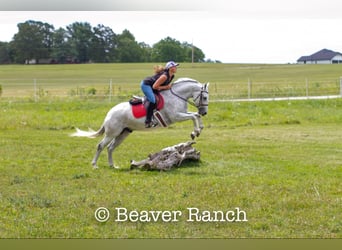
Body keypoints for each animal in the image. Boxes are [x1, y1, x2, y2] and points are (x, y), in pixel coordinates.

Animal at [70, 77, 208, 169]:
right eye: (205, 97)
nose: (204, 112)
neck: (177, 96)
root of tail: (109, 113)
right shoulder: (176, 116)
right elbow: (194, 116)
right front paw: (195, 132)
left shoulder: (182, 113)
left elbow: (195, 115)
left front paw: (198, 130)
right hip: (112, 133)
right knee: (100, 146)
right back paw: (94, 165)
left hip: (124, 133)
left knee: (110, 147)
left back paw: (112, 165)